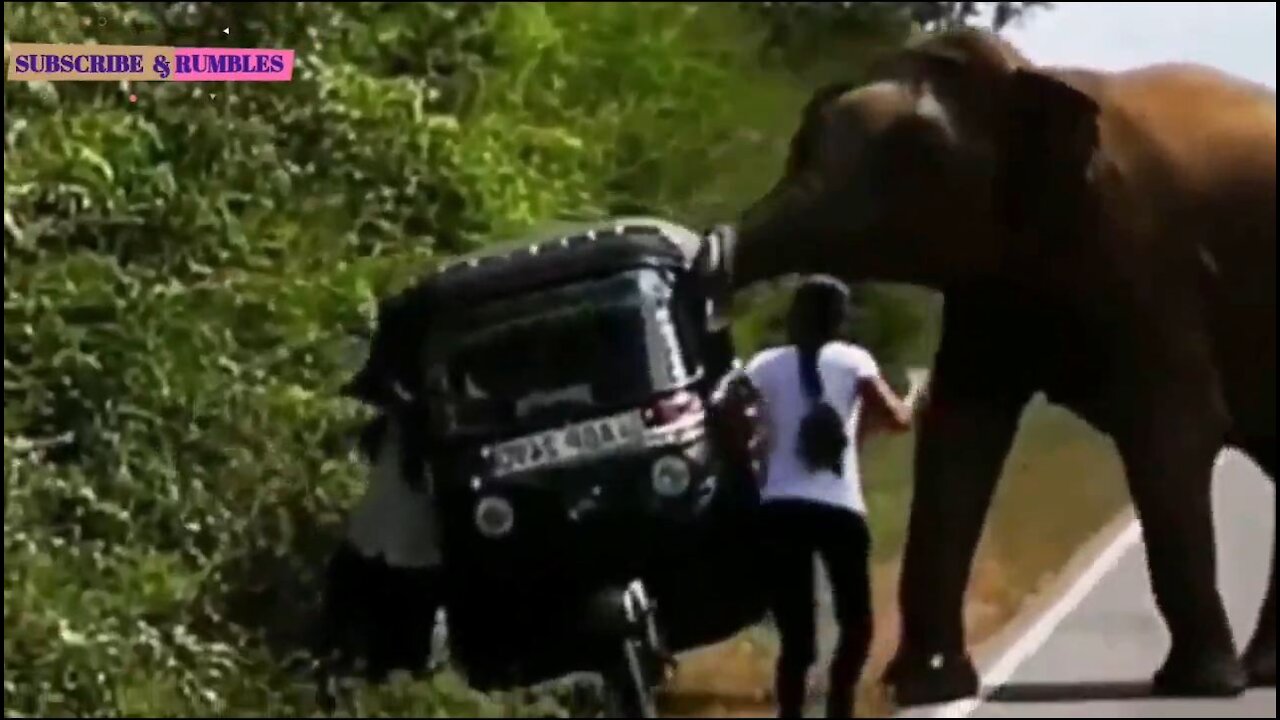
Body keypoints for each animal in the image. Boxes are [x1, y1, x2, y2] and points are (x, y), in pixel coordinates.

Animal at [727, 26, 1274, 702]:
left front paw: (1198, 687)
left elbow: (1172, 431)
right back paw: (1263, 671)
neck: (1031, 79)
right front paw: (929, 689)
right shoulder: (988, 279)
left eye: (920, 158)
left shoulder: (1150, 254)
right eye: (804, 140)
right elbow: (961, 434)